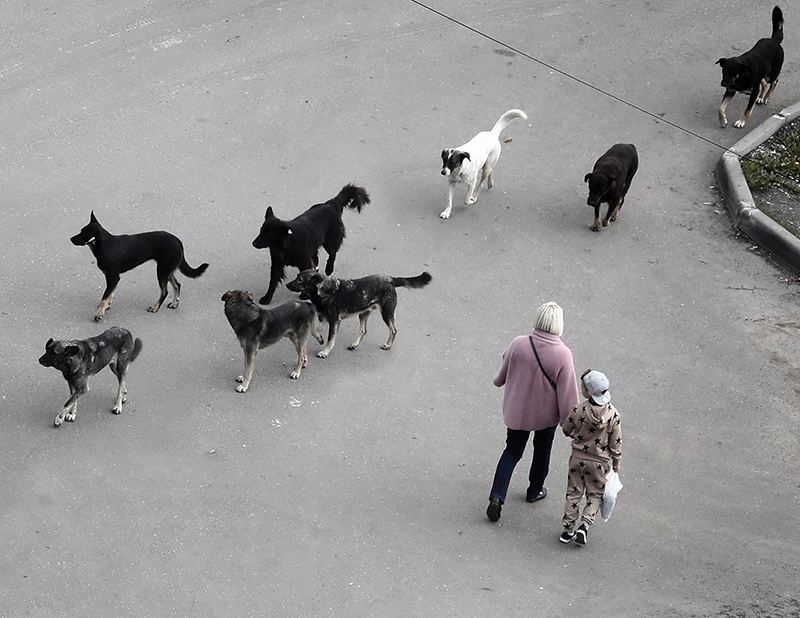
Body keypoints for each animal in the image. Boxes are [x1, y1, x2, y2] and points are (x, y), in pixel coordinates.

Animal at [71, 211, 209, 320]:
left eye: (83, 233)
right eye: (80, 231)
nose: (71, 239)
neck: (104, 245)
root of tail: (178, 241)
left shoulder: (113, 277)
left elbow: (104, 296)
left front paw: (99, 313)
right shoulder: (112, 278)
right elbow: (110, 293)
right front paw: (106, 306)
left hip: (162, 270)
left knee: (164, 292)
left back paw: (155, 307)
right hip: (167, 270)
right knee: (177, 285)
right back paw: (175, 303)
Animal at [282, 266, 428, 356]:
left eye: (300, 279)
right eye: (297, 277)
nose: (287, 284)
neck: (325, 290)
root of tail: (391, 279)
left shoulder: (334, 322)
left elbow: (330, 339)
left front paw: (325, 352)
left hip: (386, 313)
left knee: (393, 330)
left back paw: (388, 345)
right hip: (363, 313)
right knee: (363, 330)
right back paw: (354, 344)